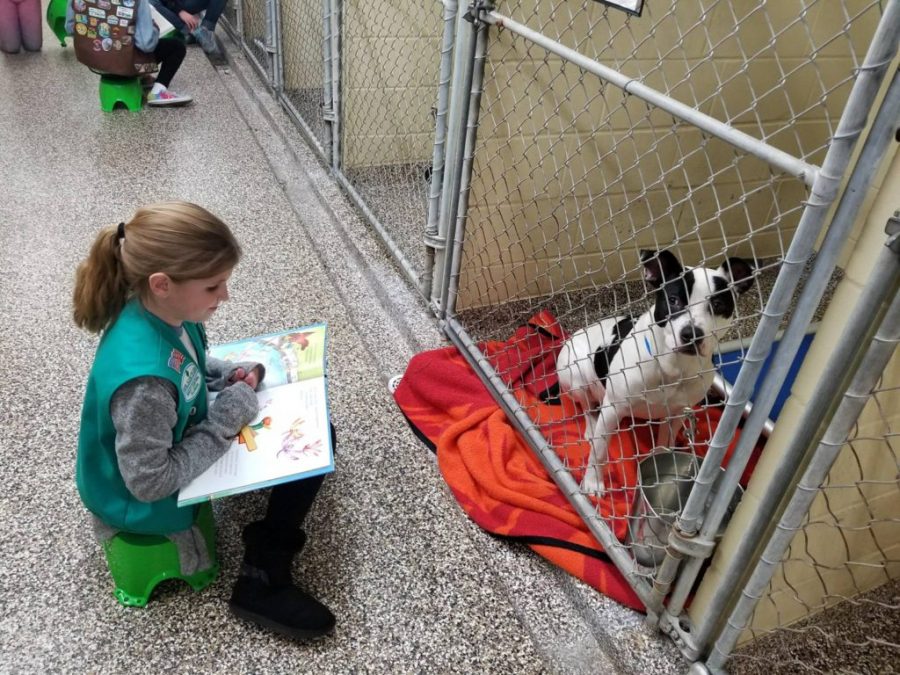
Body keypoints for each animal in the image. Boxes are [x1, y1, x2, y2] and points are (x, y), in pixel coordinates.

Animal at [552, 251, 756, 494]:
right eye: (673, 300)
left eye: (717, 304)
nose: (692, 334)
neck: (671, 368)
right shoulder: (612, 408)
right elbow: (599, 453)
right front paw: (593, 482)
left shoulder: (677, 412)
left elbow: (664, 444)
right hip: (577, 375)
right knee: (587, 408)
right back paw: (591, 427)